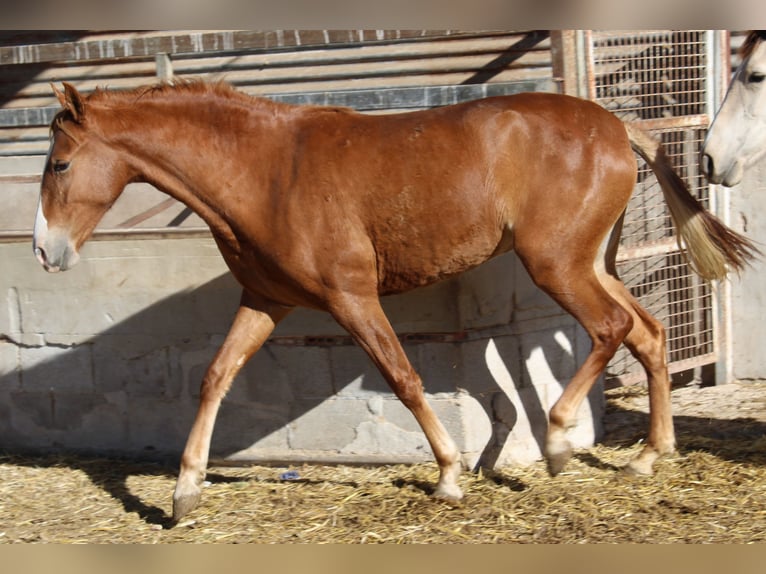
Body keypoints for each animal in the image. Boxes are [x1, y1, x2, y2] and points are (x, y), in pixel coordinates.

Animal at [34, 82, 756, 528]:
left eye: (60, 164)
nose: (45, 251)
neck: (267, 172)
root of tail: (616, 125)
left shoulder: (351, 297)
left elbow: (403, 377)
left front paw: (449, 477)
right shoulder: (266, 300)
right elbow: (216, 375)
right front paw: (183, 494)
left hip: (557, 264)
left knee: (611, 329)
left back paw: (557, 442)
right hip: (590, 263)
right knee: (649, 333)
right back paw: (649, 455)